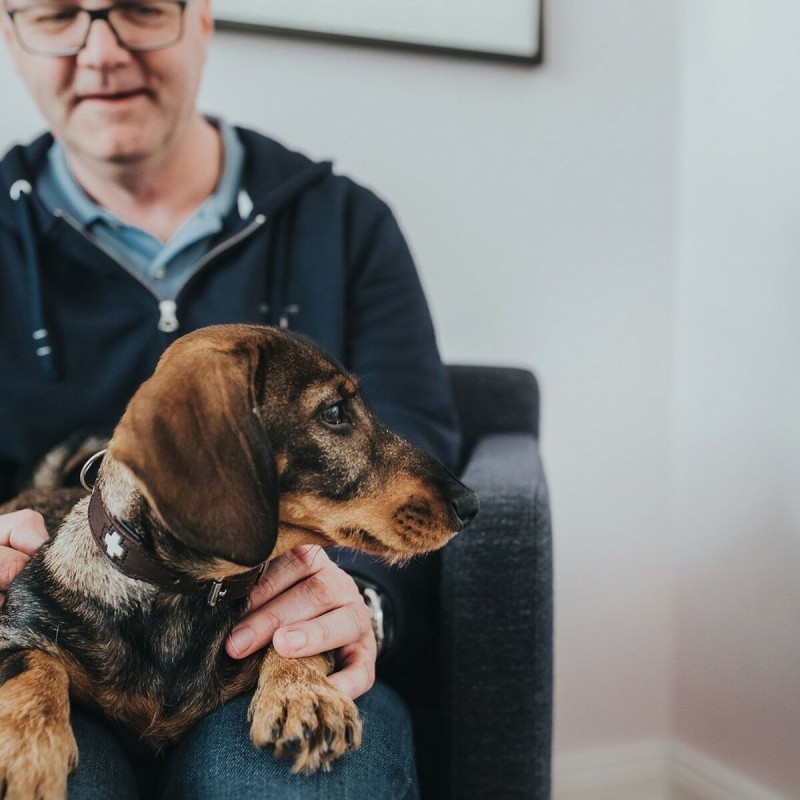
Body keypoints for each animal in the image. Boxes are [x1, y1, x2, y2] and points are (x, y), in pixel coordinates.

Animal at [0, 324, 478, 800]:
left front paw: (304, 695)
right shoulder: (18, 628)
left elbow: (293, 639)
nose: (470, 505)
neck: (186, 595)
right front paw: (29, 743)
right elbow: (34, 664)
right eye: (334, 412)